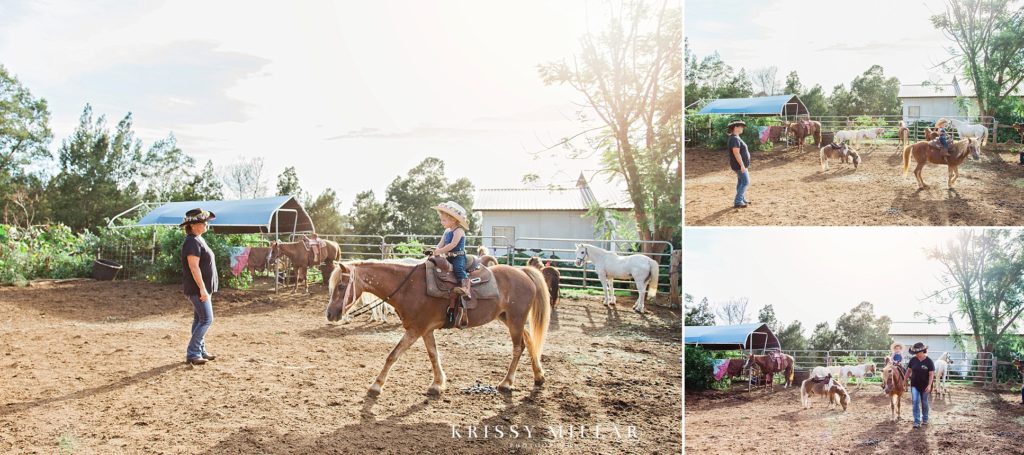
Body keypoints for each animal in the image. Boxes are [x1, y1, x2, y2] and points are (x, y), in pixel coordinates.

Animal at [327, 261, 552, 395]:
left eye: (341, 286)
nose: (329, 314)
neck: (409, 286)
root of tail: (523, 272)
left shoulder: (416, 329)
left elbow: (393, 355)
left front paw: (376, 385)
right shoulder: (425, 330)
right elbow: (434, 355)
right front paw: (437, 384)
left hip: (515, 319)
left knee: (518, 348)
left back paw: (507, 382)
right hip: (508, 318)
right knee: (529, 340)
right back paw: (539, 376)